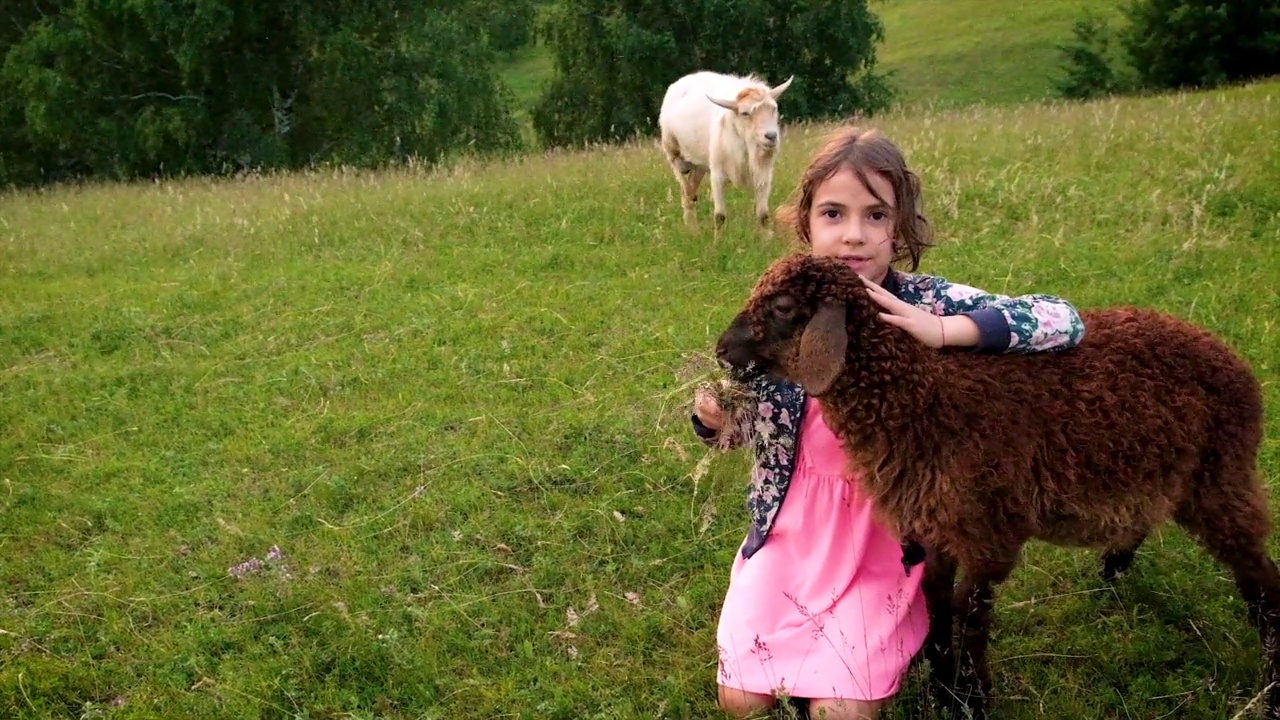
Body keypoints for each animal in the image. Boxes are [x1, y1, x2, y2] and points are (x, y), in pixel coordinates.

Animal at [660, 70, 788, 233]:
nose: (771, 136)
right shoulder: (717, 175)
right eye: (745, 113)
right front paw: (717, 240)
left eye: (774, 109)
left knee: (690, 193)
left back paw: (694, 230)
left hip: (700, 165)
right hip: (673, 153)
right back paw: (693, 231)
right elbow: (720, 217)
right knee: (687, 193)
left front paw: (767, 238)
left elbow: (763, 216)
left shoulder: (764, 175)